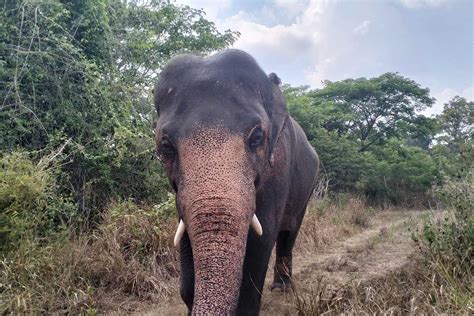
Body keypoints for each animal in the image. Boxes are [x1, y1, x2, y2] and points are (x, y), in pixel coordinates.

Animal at [154, 48, 320, 314]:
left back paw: (281, 288)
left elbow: (262, 239)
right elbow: (186, 238)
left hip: (308, 187)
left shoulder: (278, 168)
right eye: (166, 146)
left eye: (258, 137)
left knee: (288, 233)